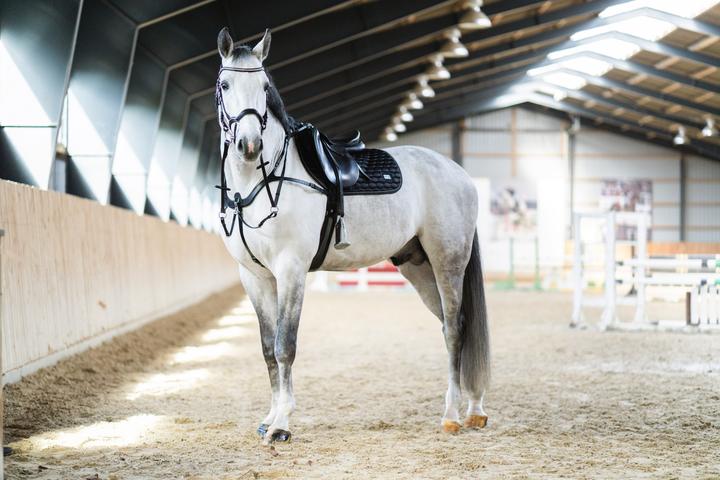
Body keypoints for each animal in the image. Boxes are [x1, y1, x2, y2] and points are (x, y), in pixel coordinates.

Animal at [214, 27, 490, 443]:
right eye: (225, 84)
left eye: (264, 87)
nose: (249, 145)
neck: (265, 179)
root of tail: (458, 172)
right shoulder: (255, 277)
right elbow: (266, 348)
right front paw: (270, 416)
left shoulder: (291, 270)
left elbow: (285, 346)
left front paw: (281, 425)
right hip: (418, 267)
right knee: (452, 326)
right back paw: (474, 410)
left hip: (448, 262)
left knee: (457, 330)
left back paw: (453, 415)